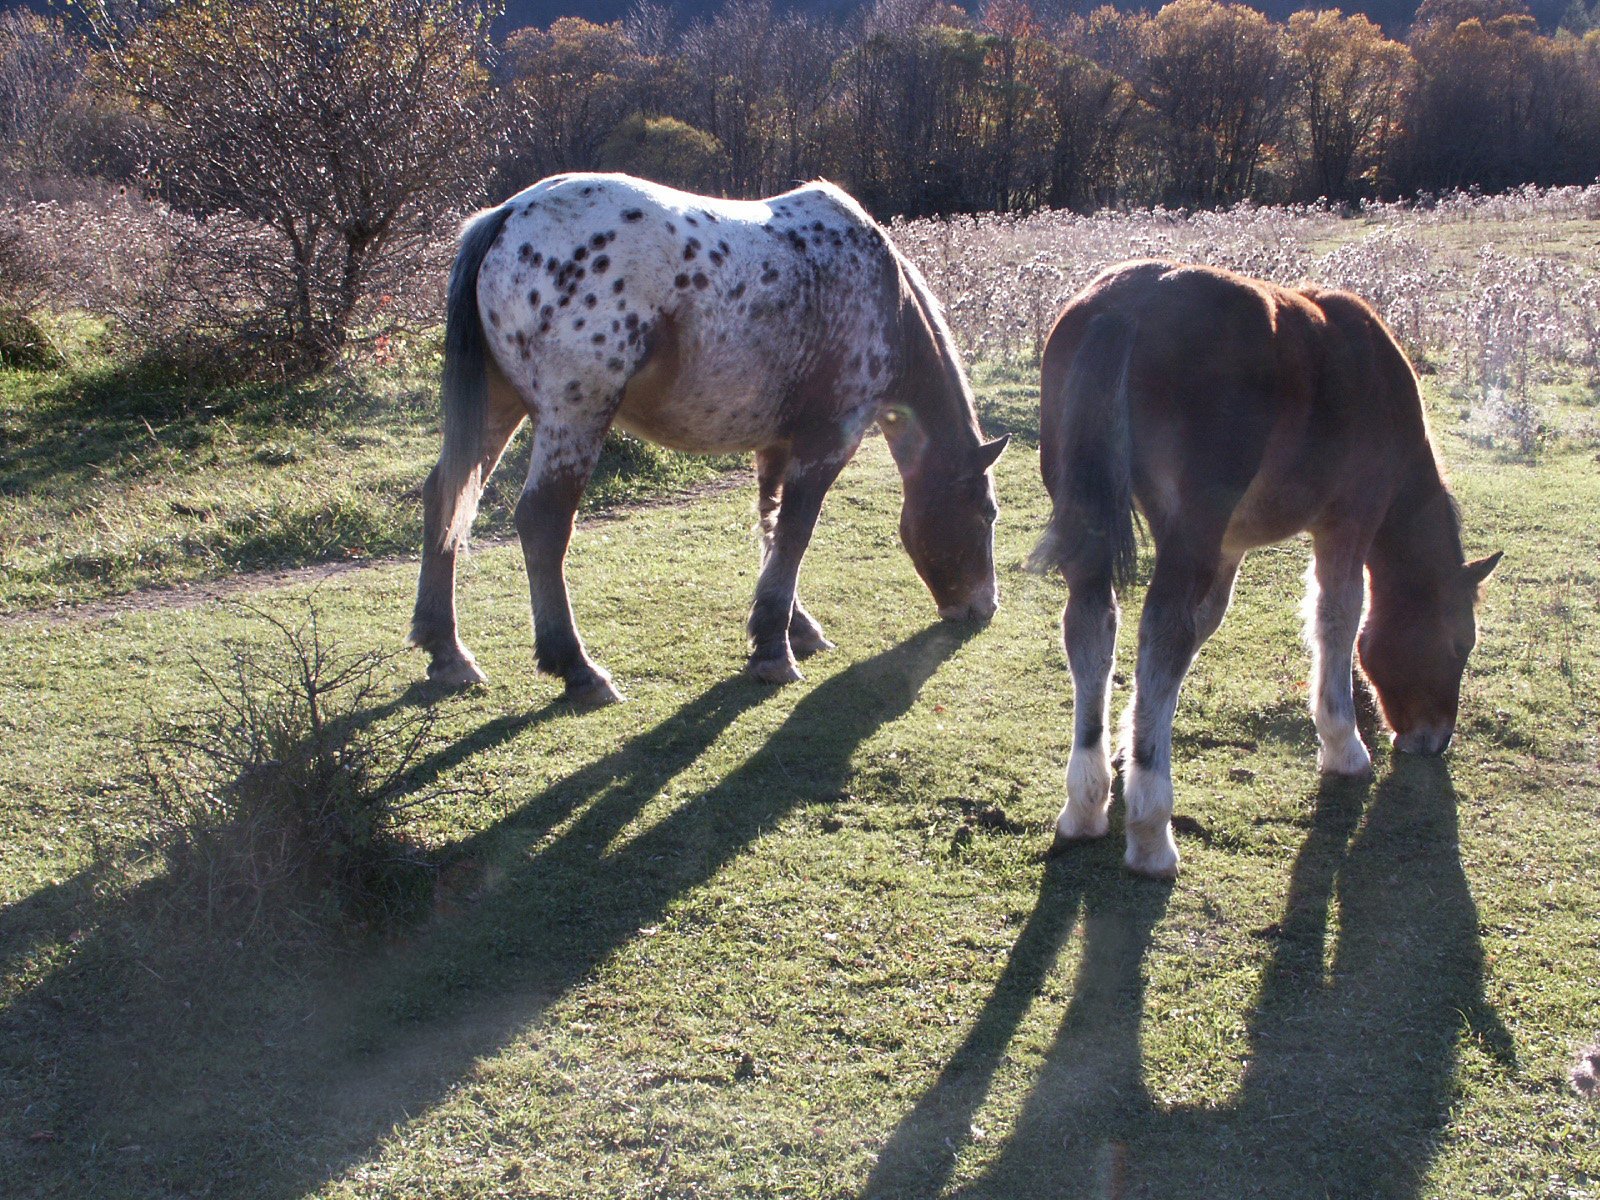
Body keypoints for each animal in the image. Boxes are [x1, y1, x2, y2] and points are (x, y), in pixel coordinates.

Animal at [406, 173, 1004, 710]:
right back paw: (577, 669)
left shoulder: (777, 444)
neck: (884, 296)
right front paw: (774, 652)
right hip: (574, 416)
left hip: (498, 407)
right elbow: (795, 533)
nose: (984, 609)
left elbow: (771, 527)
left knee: (444, 497)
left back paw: (447, 653)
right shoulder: (827, 443)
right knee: (542, 522)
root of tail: (507, 215)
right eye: (986, 513)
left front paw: (794, 628)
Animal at [1036, 262, 1497, 883]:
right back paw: (1152, 833)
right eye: (1458, 644)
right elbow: (1337, 620)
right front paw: (1344, 745)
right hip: (1191, 528)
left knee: (1092, 627)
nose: (1435, 738)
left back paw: (1086, 805)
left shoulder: (1230, 545)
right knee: (1160, 632)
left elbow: (1204, 627)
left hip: (1092, 525)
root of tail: (1123, 305)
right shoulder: (1348, 522)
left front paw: (1130, 744)